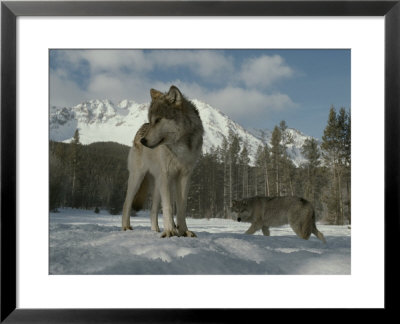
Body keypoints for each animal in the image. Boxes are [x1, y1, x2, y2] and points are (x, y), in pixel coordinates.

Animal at [121, 85, 203, 238]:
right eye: (151, 120)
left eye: (158, 120)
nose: (143, 141)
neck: (180, 147)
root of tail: (140, 130)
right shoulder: (166, 174)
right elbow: (168, 207)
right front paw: (170, 230)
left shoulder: (185, 176)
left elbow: (181, 208)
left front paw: (183, 231)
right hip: (138, 178)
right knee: (126, 203)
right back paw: (126, 227)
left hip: (159, 184)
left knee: (153, 210)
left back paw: (155, 230)